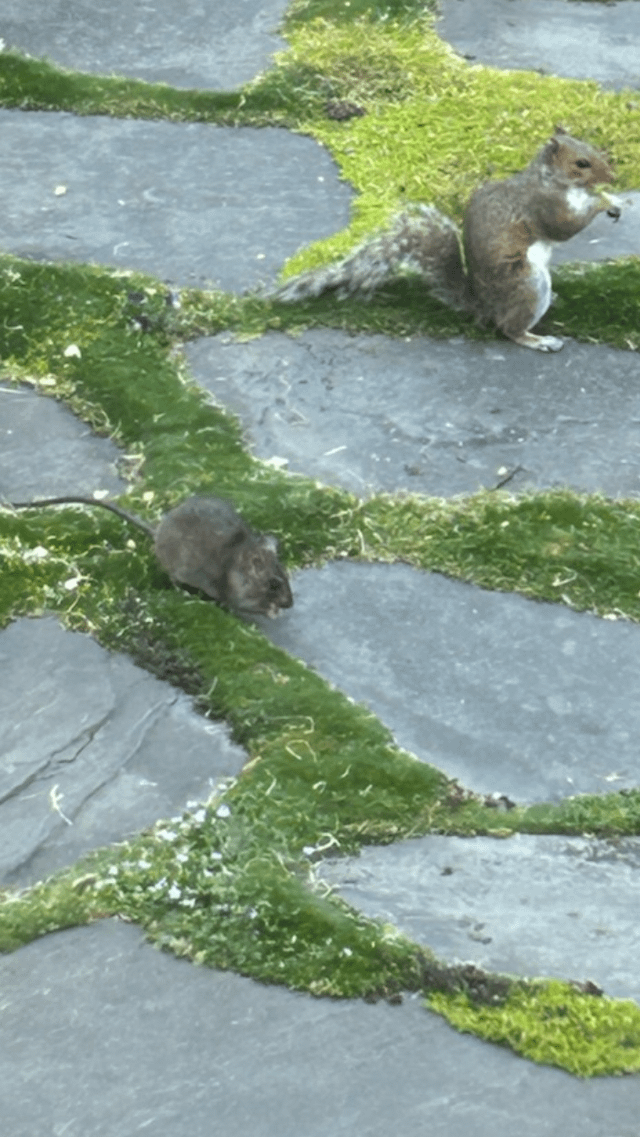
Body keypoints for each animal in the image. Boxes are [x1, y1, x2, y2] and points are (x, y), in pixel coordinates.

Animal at [7, 495, 293, 618]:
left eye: (287, 579)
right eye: (274, 584)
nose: (290, 604)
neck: (242, 564)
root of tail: (156, 532)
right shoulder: (237, 596)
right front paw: (273, 612)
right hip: (178, 568)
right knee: (173, 579)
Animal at [274, 127, 621, 352]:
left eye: (593, 149)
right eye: (581, 163)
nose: (613, 177)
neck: (549, 179)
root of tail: (484, 307)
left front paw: (612, 200)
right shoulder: (542, 206)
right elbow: (565, 227)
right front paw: (605, 200)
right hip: (527, 283)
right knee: (508, 329)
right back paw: (537, 340)